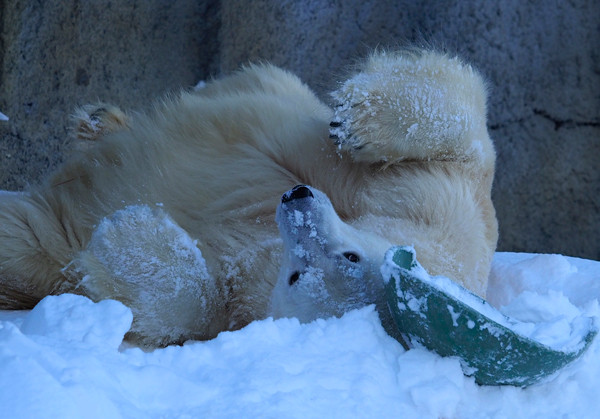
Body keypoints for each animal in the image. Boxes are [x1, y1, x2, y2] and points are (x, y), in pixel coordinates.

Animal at [0, 50, 496, 348]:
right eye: (353, 256)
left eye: (296, 278)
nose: (296, 196)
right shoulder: (438, 210)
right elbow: (468, 128)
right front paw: (358, 119)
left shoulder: (240, 301)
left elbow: (180, 313)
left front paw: (131, 234)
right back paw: (100, 121)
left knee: (26, 237)